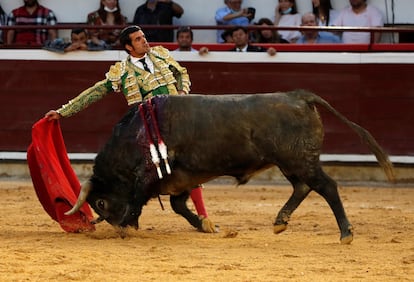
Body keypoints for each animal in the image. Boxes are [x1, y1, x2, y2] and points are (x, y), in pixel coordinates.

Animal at [66, 90, 392, 242]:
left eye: (101, 203)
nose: (117, 230)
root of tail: (298, 95)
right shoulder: (181, 177)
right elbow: (179, 205)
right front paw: (206, 225)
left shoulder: (148, 176)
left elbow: (138, 200)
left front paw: (129, 226)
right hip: (291, 162)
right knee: (302, 187)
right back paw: (280, 221)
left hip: (299, 159)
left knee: (326, 187)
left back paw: (346, 233)